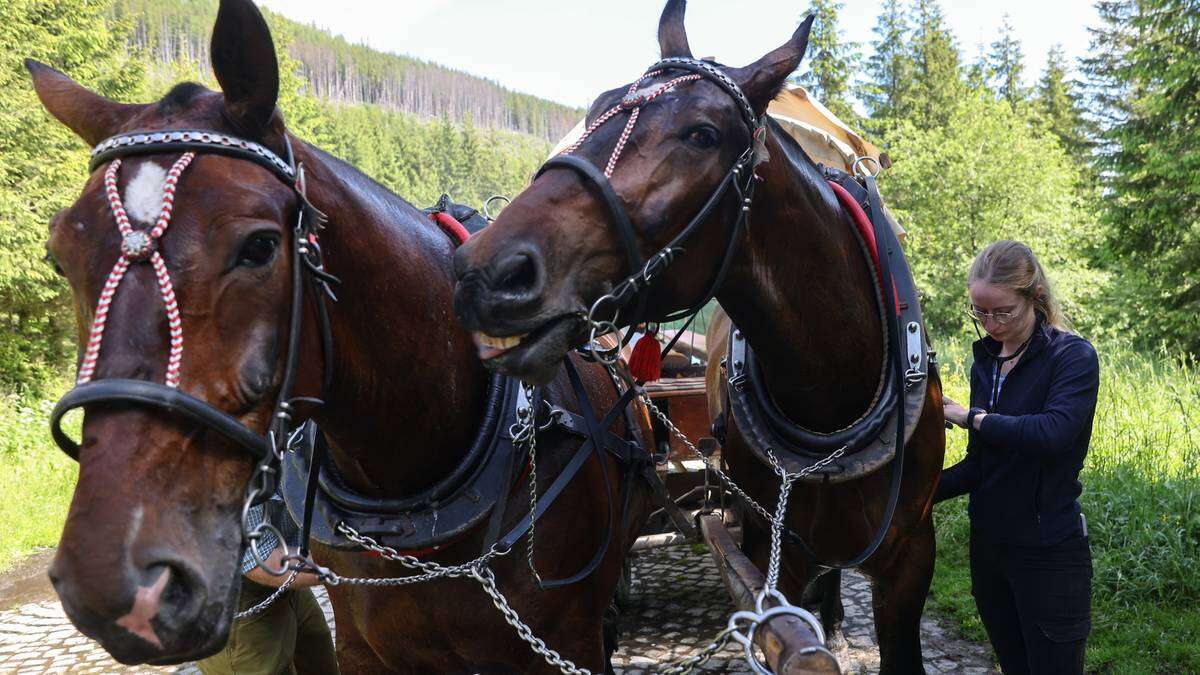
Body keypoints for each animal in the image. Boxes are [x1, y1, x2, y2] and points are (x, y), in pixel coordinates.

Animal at [451, 2, 945, 667]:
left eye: (702, 135)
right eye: (595, 106)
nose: (485, 271)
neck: (836, 397)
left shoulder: (913, 557)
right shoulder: (770, 552)